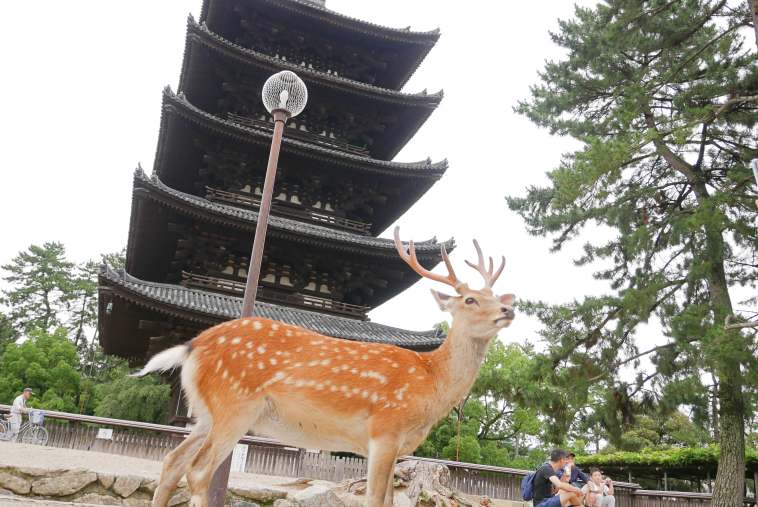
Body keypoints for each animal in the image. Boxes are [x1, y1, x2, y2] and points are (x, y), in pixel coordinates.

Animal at [135, 227, 516, 507]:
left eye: (496, 297)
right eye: (470, 300)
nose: (508, 309)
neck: (431, 382)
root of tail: (193, 346)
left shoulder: (394, 446)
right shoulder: (385, 428)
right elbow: (375, 500)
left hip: (205, 413)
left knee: (171, 463)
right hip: (235, 405)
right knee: (198, 471)